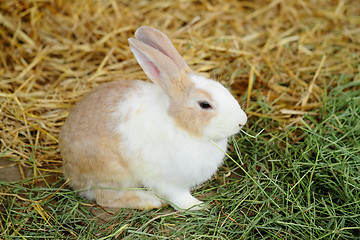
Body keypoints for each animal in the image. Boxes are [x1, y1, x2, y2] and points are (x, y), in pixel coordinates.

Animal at [59, 26, 246, 210]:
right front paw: (196, 206)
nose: (242, 121)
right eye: (205, 104)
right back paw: (150, 201)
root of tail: (70, 173)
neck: (181, 125)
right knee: (106, 198)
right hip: (113, 173)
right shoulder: (168, 181)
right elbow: (179, 197)